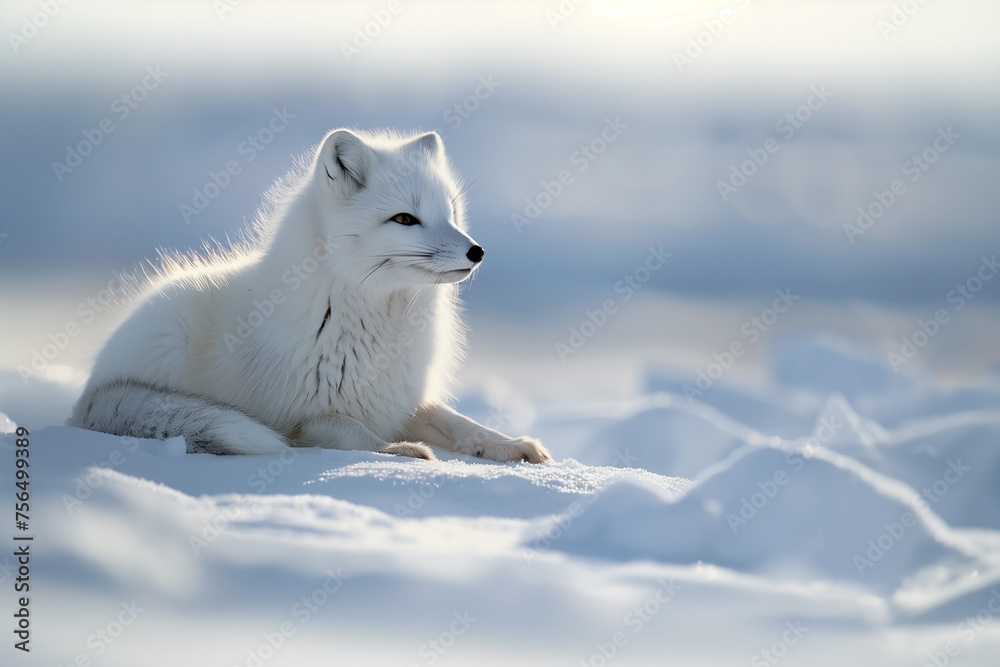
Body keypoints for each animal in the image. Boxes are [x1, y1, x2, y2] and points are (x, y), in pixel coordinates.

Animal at [68, 128, 551, 463]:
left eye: (451, 213)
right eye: (404, 219)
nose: (477, 252)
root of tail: (85, 398)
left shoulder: (398, 400)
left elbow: (460, 423)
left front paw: (511, 445)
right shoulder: (302, 419)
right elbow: (355, 433)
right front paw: (399, 451)